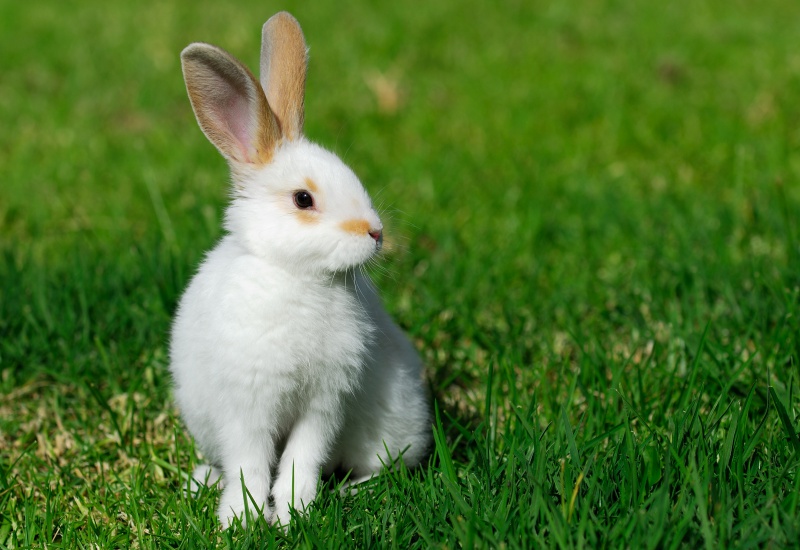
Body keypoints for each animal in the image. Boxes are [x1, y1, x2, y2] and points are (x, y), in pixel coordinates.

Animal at [169, 12, 431, 528]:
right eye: (303, 199)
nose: (376, 233)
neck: (297, 278)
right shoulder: (247, 405)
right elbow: (250, 464)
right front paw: (242, 519)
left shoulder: (324, 404)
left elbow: (301, 458)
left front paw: (293, 511)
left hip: (387, 430)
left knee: (386, 466)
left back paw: (352, 492)